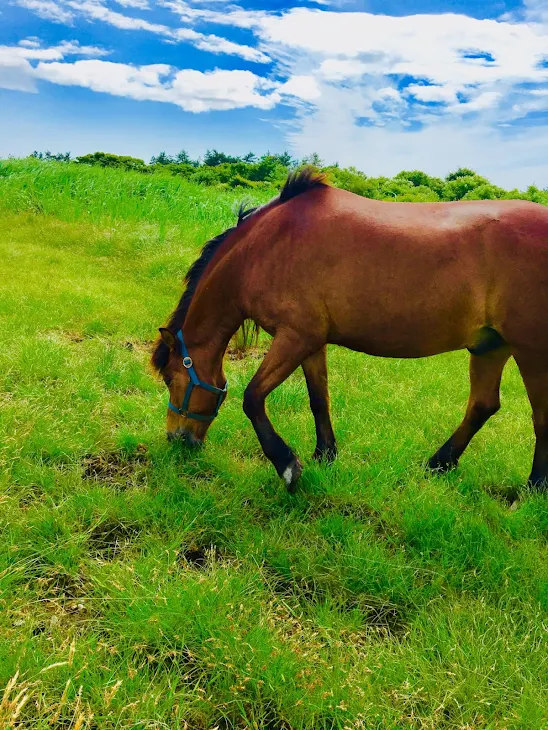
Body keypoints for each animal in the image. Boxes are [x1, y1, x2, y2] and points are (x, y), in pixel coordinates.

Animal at [152, 168, 548, 492]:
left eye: (171, 378)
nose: (177, 439)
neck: (266, 248)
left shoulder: (295, 337)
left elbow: (252, 398)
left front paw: (287, 466)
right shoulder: (311, 342)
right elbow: (318, 398)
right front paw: (324, 454)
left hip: (530, 350)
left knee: (539, 414)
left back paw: (534, 486)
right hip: (490, 346)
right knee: (482, 405)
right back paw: (439, 463)